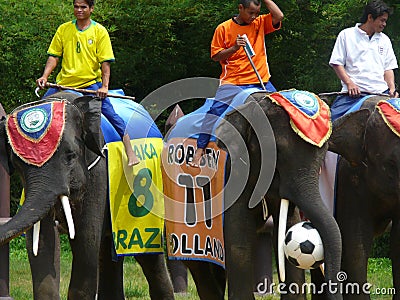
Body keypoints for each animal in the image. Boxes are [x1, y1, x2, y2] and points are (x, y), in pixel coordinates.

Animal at [0, 91, 173, 300]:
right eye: (17, 164)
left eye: (71, 156)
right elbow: (41, 242)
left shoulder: (98, 172)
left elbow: (86, 241)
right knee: (108, 251)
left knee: (150, 258)